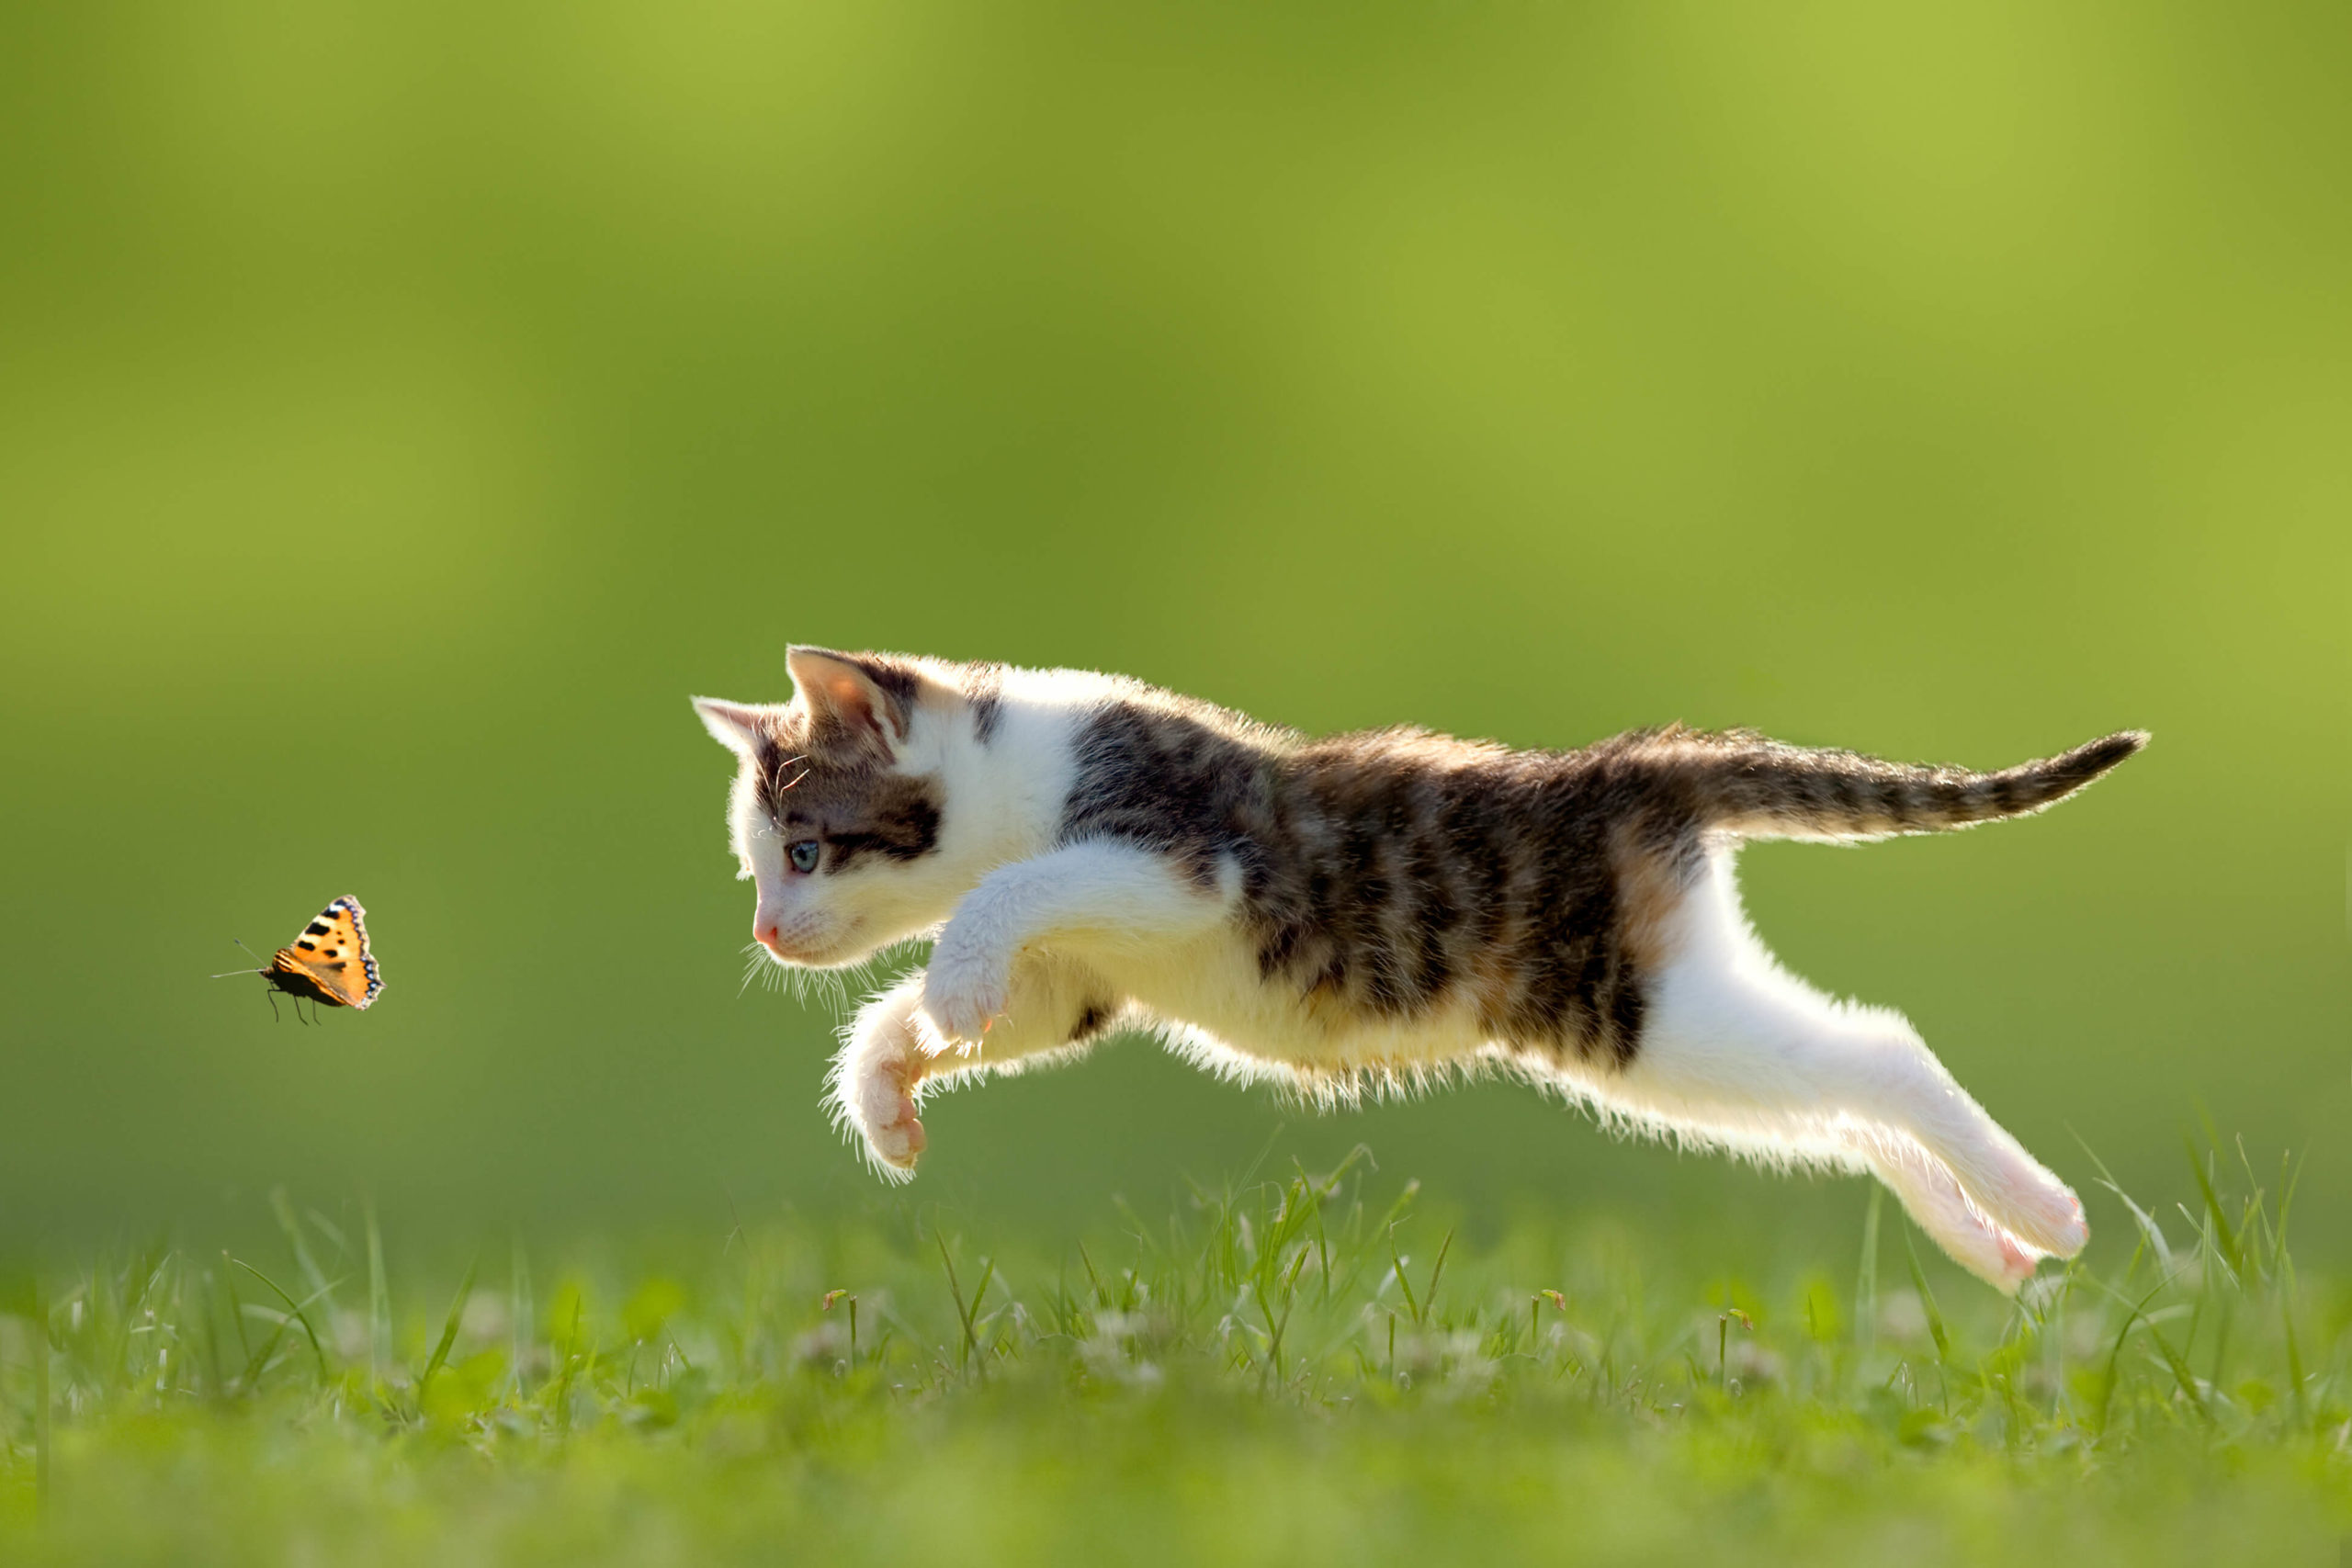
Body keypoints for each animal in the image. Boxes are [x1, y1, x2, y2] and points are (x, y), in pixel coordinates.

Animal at [686, 644, 2144, 1297]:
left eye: (806, 849)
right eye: (756, 864)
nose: (764, 932)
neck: (1016, 771)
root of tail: (1626, 770)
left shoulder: (1180, 858)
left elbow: (1003, 896)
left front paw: (945, 985)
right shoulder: (1081, 981)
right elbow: (995, 998)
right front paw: (888, 1089)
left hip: (1642, 1012)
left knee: (1879, 1052)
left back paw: (2046, 1211)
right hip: (1672, 1028)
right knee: (1838, 1105)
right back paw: (1993, 1244)